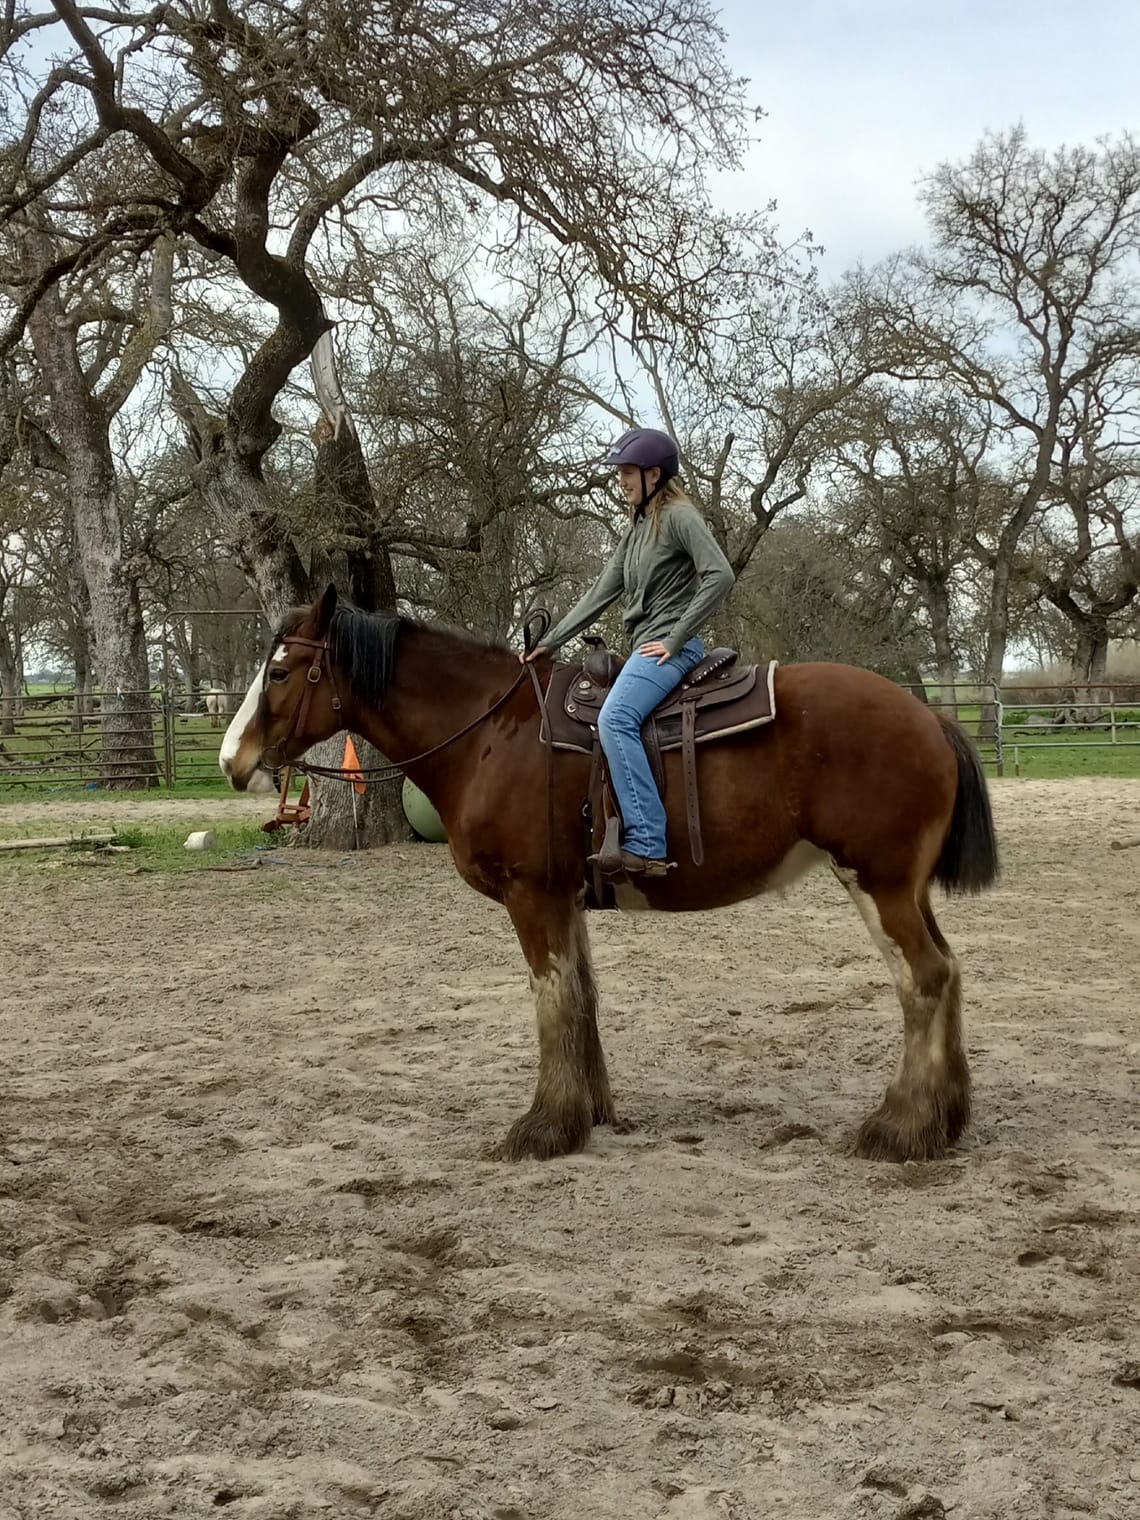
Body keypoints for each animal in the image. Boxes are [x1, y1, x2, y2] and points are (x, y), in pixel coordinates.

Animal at [220, 585, 999, 1165]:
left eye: (280, 672)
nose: (234, 759)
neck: (491, 732)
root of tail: (927, 717)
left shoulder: (532, 895)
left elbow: (554, 999)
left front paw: (544, 1127)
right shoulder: (565, 897)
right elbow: (582, 997)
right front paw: (587, 1113)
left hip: (878, 883)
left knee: (923, 979)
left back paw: (901, 1128)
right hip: (905, 888)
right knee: (951, 970)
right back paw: (947, 1116)